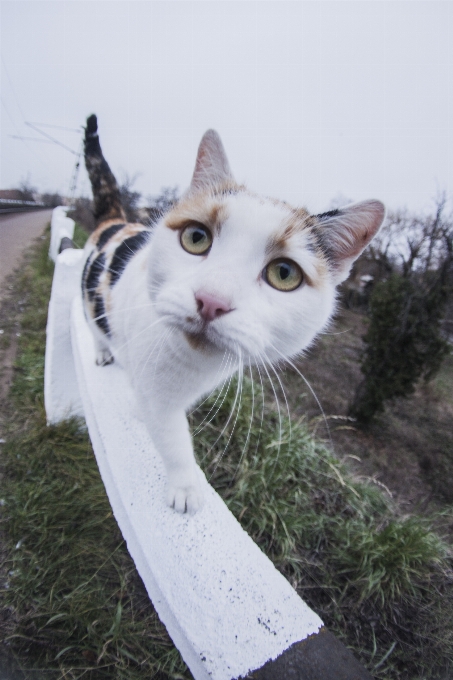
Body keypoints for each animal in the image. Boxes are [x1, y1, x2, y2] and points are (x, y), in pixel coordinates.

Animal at [82, 114, 384, 512]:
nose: (211, 300)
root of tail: (117, 222)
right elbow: (171, 437)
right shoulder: (156, 393)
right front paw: (185, 486)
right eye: (196, 238)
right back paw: (102, 351)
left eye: (284, 274)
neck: (192, 367)